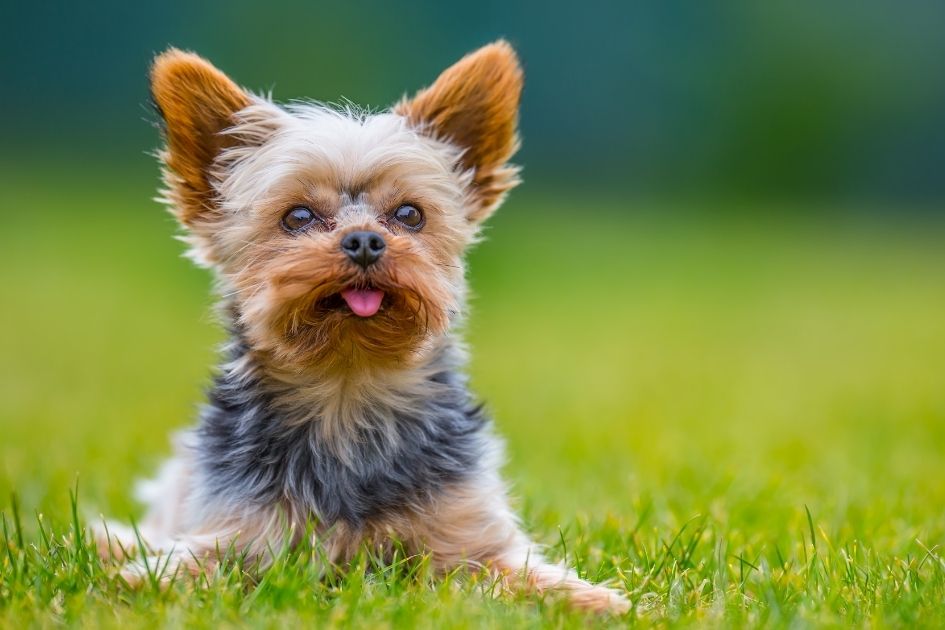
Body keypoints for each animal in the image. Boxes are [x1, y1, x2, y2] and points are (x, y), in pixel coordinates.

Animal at [94, 40, 628, 616]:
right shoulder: (241, 532)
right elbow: (192, 565)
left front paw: (594, 601)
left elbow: (516, 571)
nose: (365, 241)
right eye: (299, 216)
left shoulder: (466, 538)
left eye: (410, 214)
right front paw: (140, 580)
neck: (348, 387)